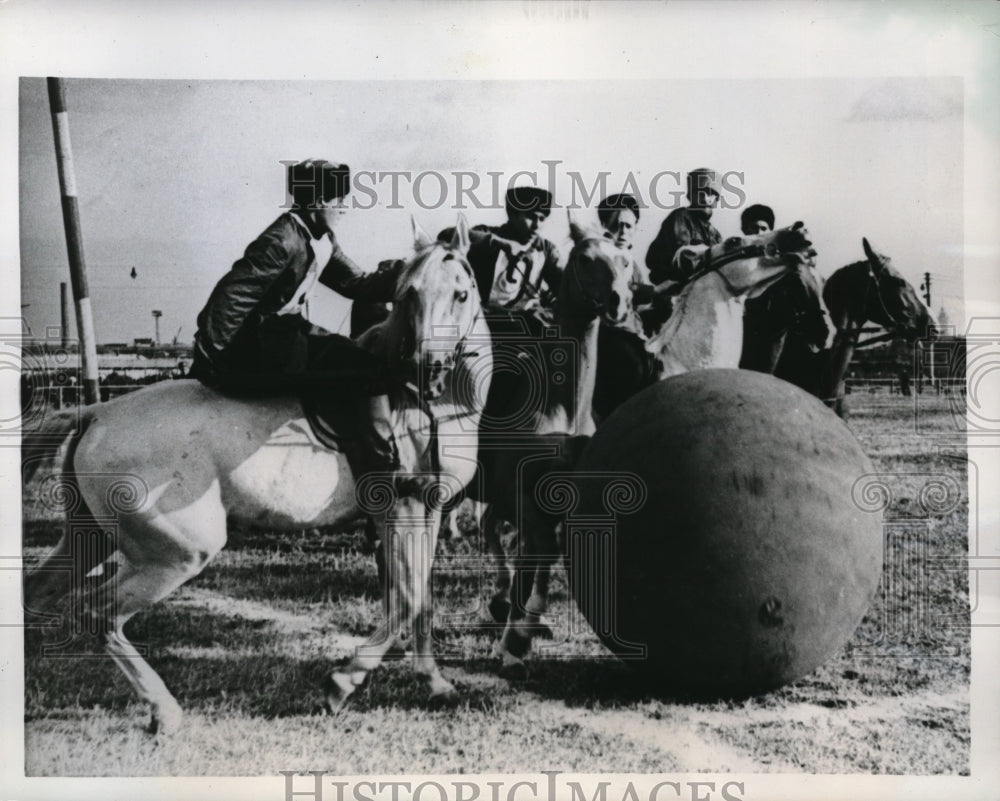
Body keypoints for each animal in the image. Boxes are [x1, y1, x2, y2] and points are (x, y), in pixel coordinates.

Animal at [21, 214, 490, 732]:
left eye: (461, 293)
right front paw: (341, 683)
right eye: (408, 294)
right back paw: (165, 710)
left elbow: (420, 599)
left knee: (38, 592)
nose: (428, 369)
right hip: (177, 554)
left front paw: (436, 684)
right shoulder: (403, 509)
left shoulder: (426, 511)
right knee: (98, 613)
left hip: (90, 538)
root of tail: (98, 413)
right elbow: (405, 600)